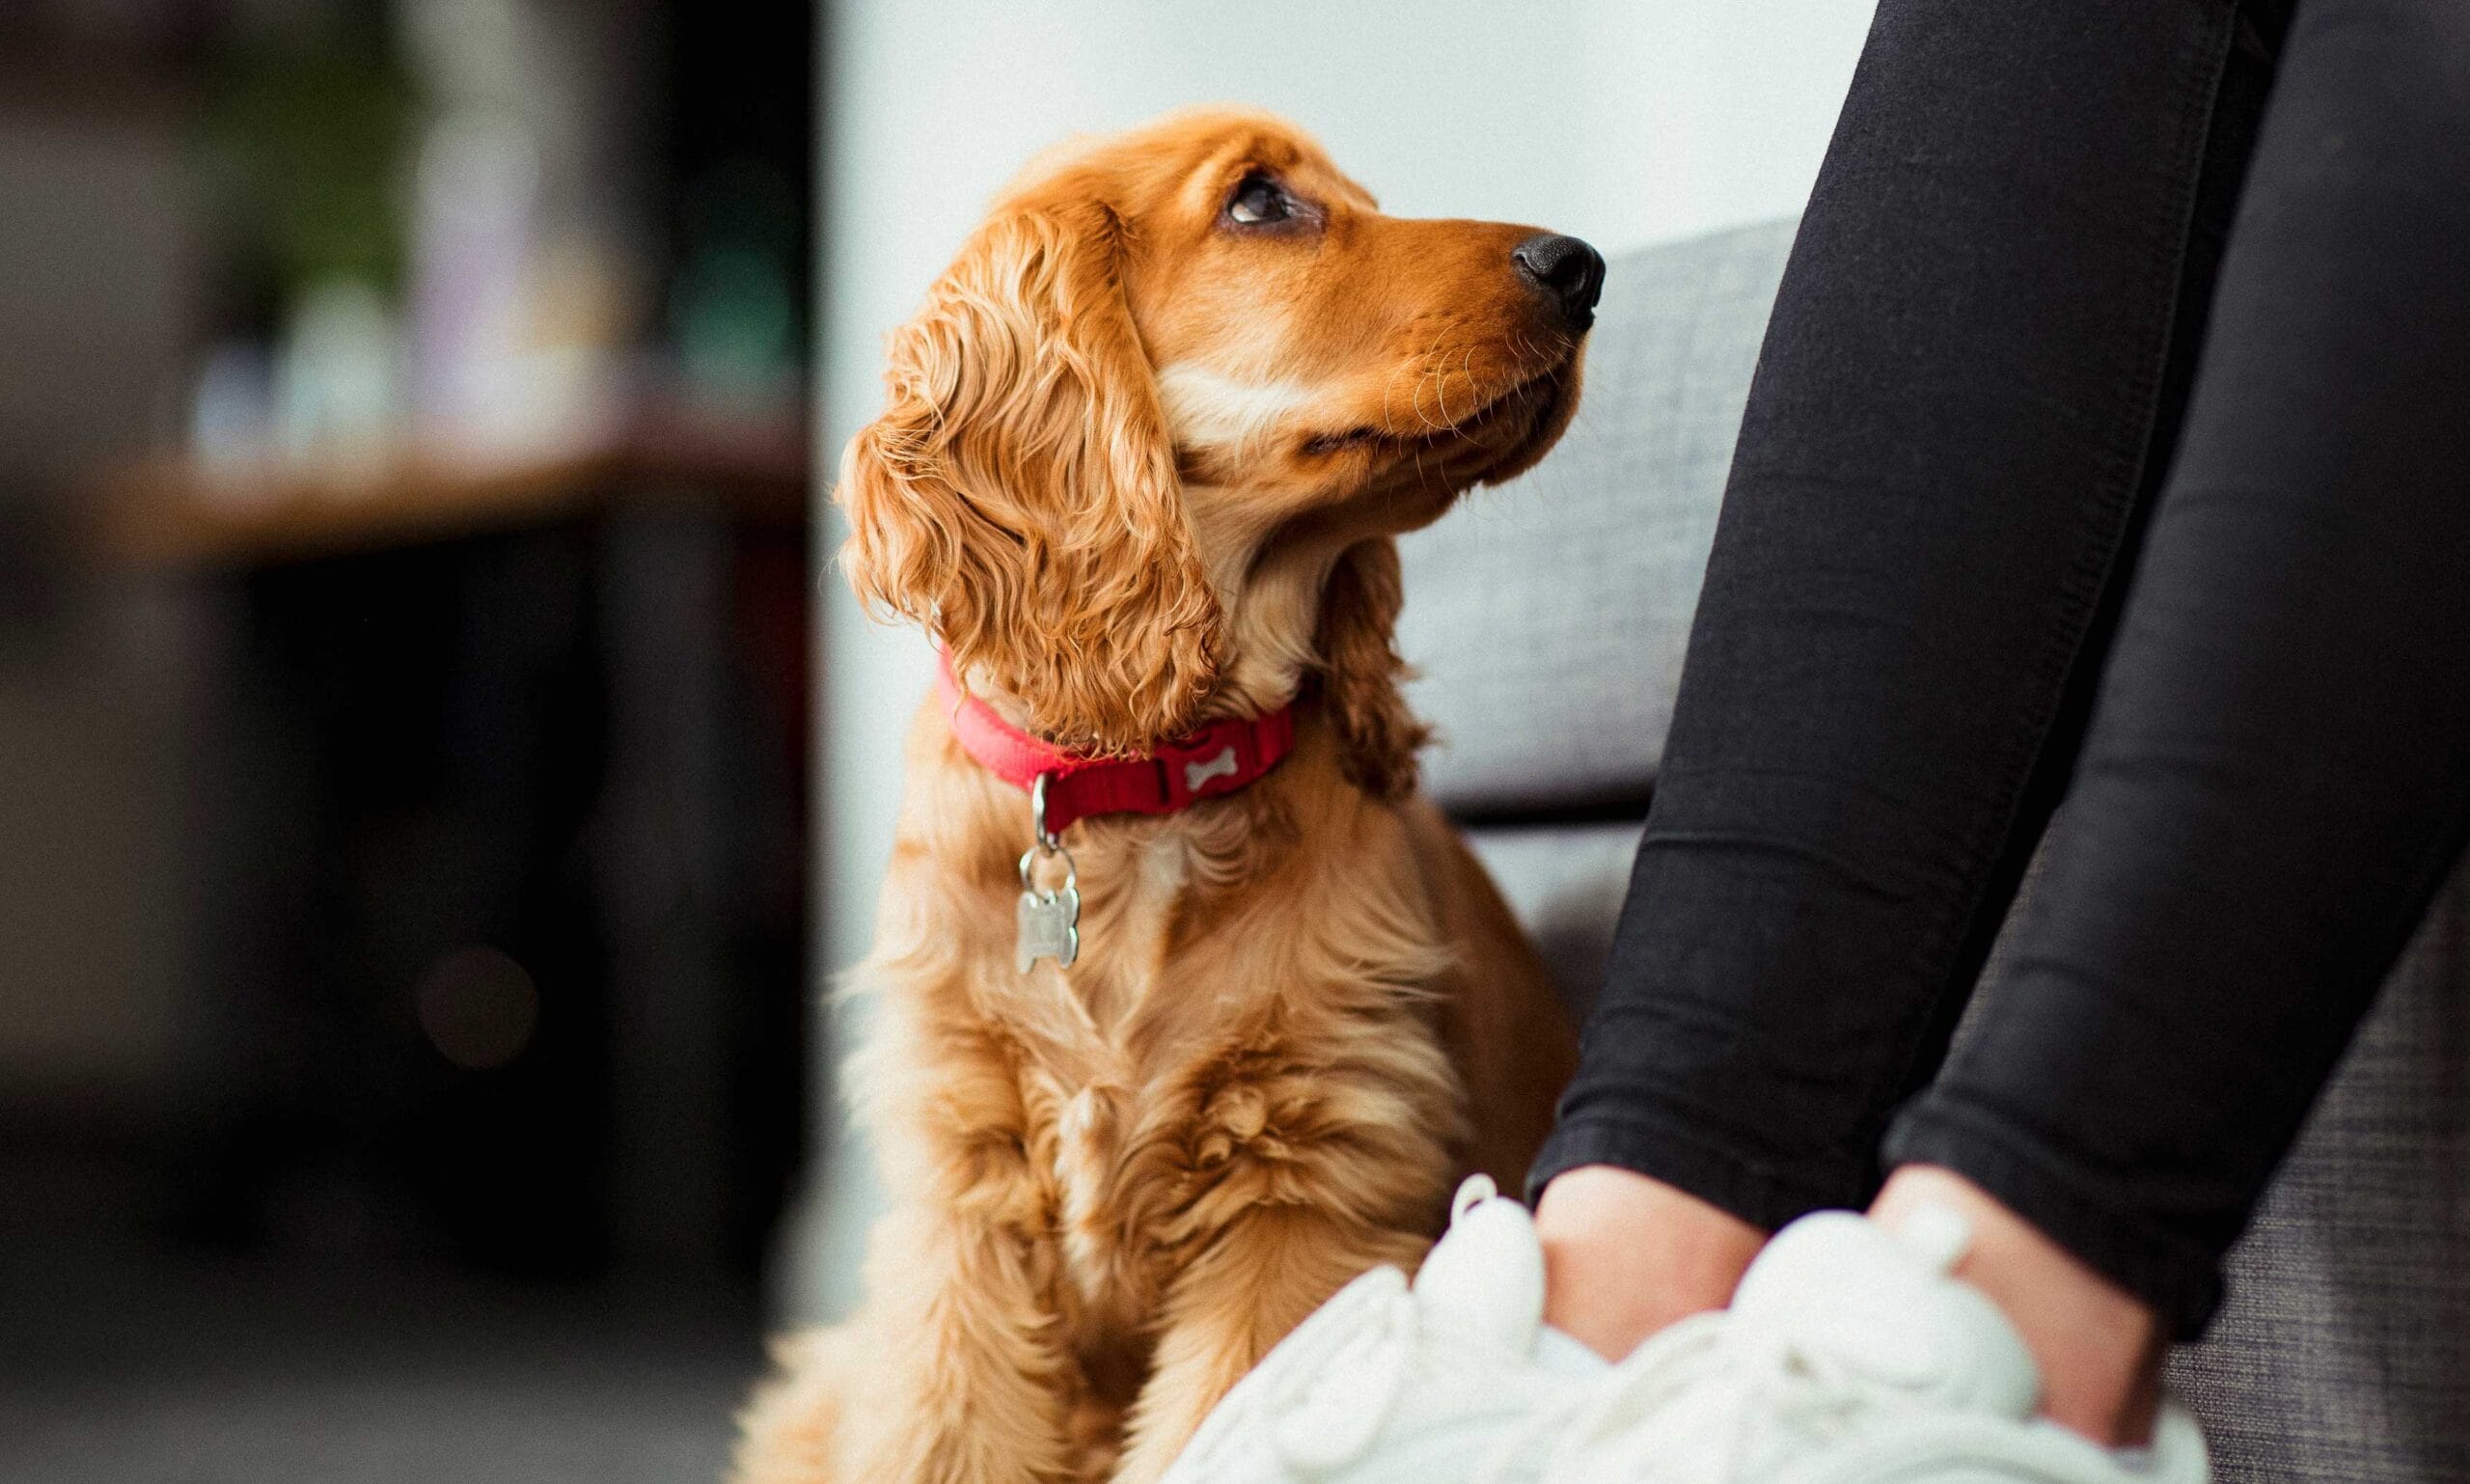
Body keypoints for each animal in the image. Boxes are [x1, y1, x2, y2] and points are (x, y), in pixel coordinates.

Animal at [735, 104, 1600, 1481]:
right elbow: (940, 1432)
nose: (1581, 267)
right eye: (1259, 204)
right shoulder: (960, 1209)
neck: (1138, 788)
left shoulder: (1306, 1196)